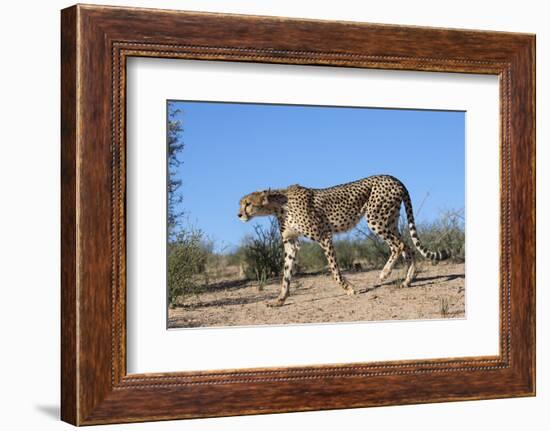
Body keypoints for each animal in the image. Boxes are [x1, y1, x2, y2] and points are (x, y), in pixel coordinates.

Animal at [238, 176, 452, 308]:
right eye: (241, 204)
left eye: (247, 203)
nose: (239, 214)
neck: (278, 205)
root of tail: (392, 177)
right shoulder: (291, 244)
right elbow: (286, 275)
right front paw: (279, 300)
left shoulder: (324, 236)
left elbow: (334, 271)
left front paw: (349, 288)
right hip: (390, 220)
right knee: (408, 247)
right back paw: (407, 281)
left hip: (376, 219)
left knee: (398, 246)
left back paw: (384, 274)